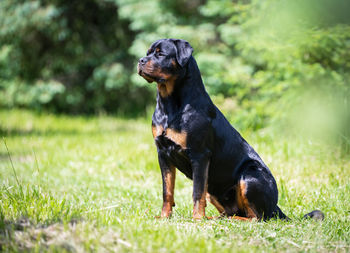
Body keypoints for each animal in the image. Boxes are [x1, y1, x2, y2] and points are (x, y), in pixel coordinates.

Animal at [137, 38, 322, 220]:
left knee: (256, 217)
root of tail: (276, 207)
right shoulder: (163, 153)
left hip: (250, 175)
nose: (141, 61)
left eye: (161, 54)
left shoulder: (200, 154)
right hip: (217, 191)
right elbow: (167, 191)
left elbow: (197, 192)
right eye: (148, 53)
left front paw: (197, 220)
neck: (169, 105)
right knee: (232, 211)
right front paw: (164, 217)